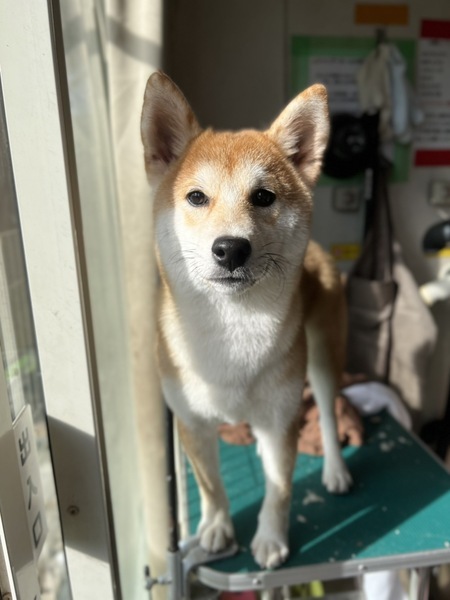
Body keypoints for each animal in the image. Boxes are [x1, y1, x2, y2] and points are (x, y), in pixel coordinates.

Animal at [140, 72, 352, 570]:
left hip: (323, 359)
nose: (231, 248)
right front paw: (218, 528)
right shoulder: (192, 424)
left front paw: (271, 539)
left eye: (263, 197)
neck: (231, 334)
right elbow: (211, 486)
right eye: (196, 197)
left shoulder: (280, 419)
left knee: (328, 415)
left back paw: (335, 469)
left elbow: (280, 489)